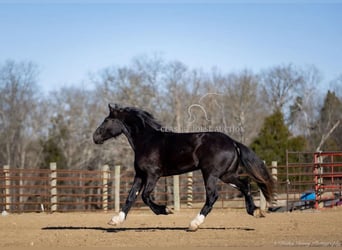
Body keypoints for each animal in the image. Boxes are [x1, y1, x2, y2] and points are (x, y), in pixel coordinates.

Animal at [92, 103, 274, 230]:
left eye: (107, 120)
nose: (95, 137)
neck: (146, 141)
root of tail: (233, 142)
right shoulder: (140, 175)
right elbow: (131, 196)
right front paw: (115, 220)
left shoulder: (153, 174)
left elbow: (145, 196)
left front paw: (166, 210)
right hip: (226, 175)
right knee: (245, 185)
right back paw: (255, 211)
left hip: (211, 174)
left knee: (213, 196)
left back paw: (194, 224)